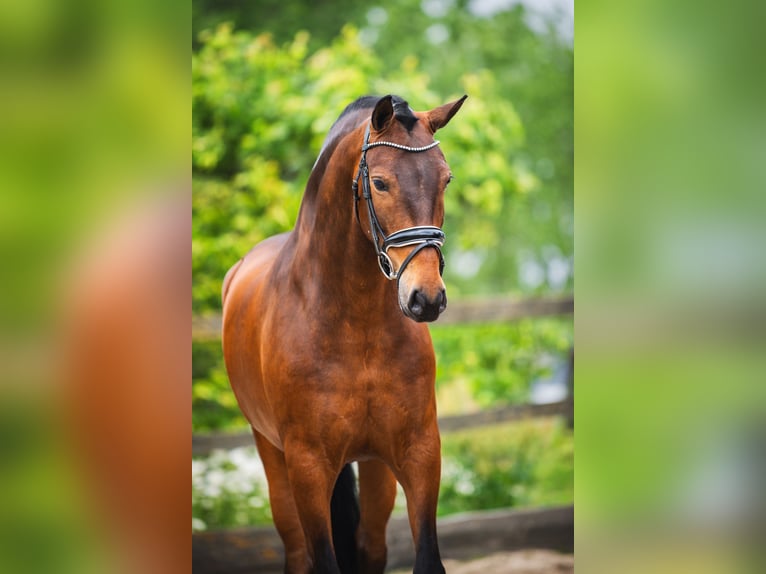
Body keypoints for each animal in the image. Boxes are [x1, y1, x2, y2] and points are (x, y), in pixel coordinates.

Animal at [222, 95, 468, 574]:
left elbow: (427, 556)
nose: (426, 299)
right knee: (298, 553)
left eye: (445, 179)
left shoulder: (419, 452)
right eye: (380, 183)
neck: (356, 326)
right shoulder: (308, 466)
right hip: (272, 455)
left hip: (374, 470)